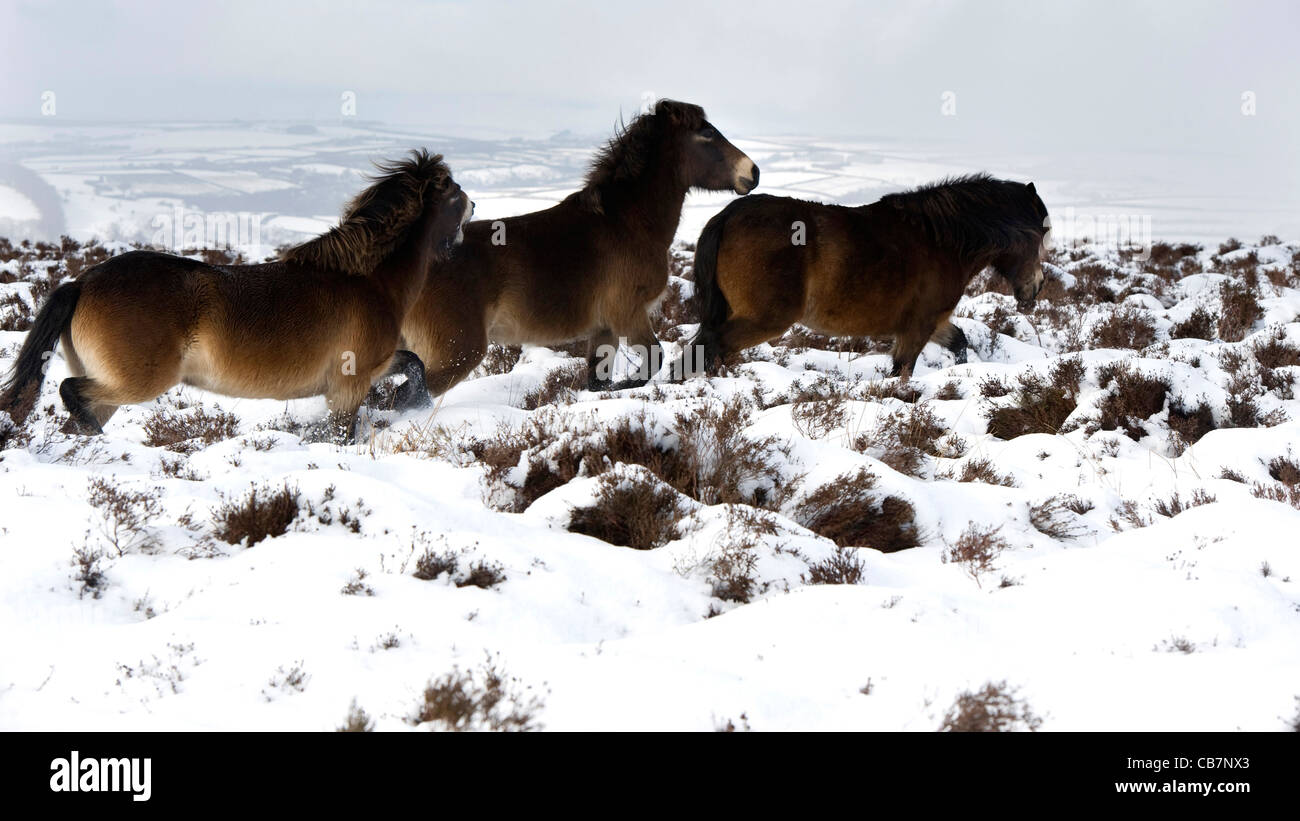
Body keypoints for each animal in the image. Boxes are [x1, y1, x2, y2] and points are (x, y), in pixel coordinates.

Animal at [0, 147, 478, 441]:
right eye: (454, 191)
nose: (475, 207)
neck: (369, 281)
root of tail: (81, 282)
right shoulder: (349, 385)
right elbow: (343, 432)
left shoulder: (372, 367)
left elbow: (414, 364)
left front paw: (410, 402)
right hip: (135, 381)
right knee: (72, 392)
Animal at [400, 99, 759, 400]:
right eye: (707, 133)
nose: (752, 172)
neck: (626, 224)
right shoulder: (628, 313)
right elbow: (653, 358)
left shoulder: (604, 328)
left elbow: (598, 378)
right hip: (457, 351)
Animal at [691, 176, 1045, 379]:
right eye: (1041, 232)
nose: (1037, 287)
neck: (941, 239)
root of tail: (728, 215)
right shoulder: (918, 327)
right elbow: (902, 370)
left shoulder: (933, 322)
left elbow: (959, 342)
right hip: (765, 318)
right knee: (713, 345)